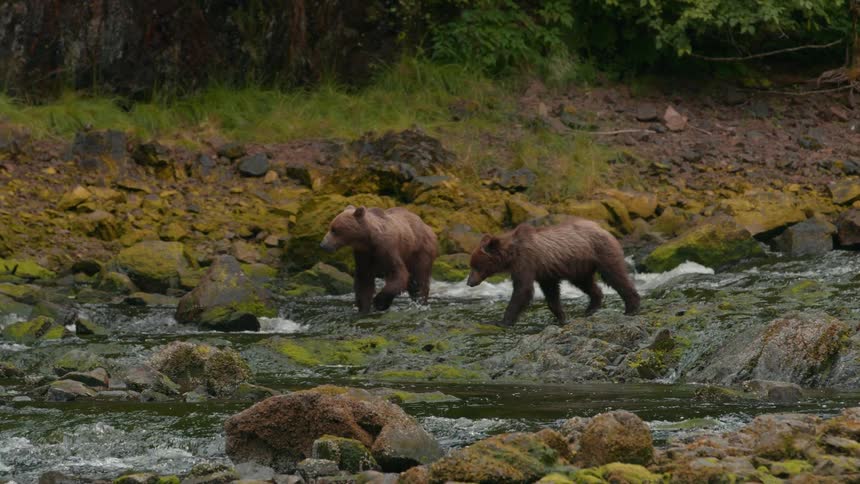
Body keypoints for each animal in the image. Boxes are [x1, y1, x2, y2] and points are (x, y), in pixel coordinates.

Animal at [466, 217, 640, 326]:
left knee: (614, 275)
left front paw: (503, 321)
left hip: (601, 252)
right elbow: (551, 295)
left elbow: (522, 290)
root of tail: (603, 228)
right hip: (580, 266)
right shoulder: (545, 271)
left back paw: (631, 307)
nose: (469, 282)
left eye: (475, 266)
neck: (511, 255)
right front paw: (562, 317)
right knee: (587, 284)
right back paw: (590, 308)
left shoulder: (526, 262)